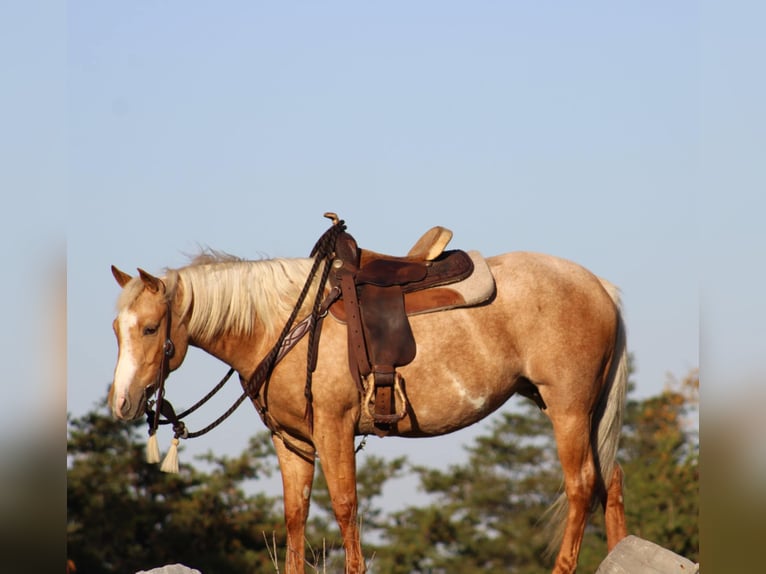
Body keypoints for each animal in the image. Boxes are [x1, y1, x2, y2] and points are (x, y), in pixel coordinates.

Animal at [111, 223, 632, 572]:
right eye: (117, 328)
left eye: (151, 328)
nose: (122, 403)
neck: (279, 323)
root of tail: (599, 286)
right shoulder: (292, 442)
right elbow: (295, 515)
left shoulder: (334, 427)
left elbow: (345, 507)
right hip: (583, 411)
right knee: (611, 479)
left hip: (567, 408)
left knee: (581, 484)